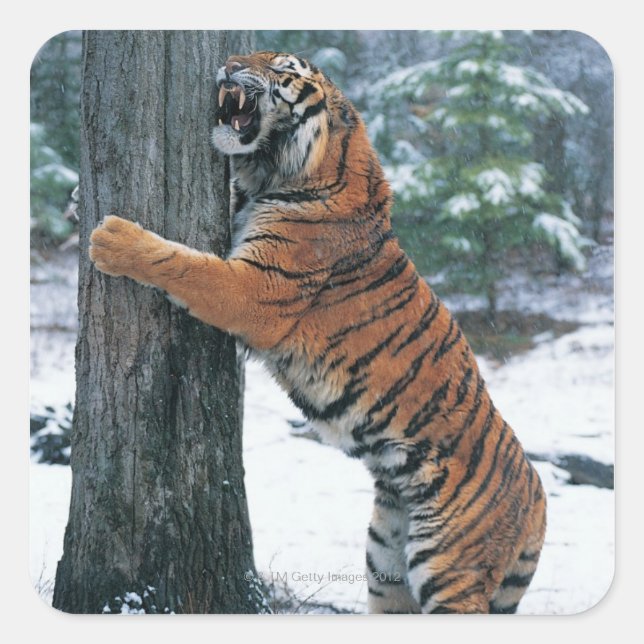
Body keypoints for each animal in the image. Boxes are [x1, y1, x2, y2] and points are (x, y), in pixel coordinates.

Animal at [89, 51, 546, 614]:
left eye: (283, 67)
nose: (229, 62)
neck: (273, 175)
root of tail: (538, 497)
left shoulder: (254, 290)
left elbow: (185, 264)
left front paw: (113, 238)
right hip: (387, 562)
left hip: (447, 569)